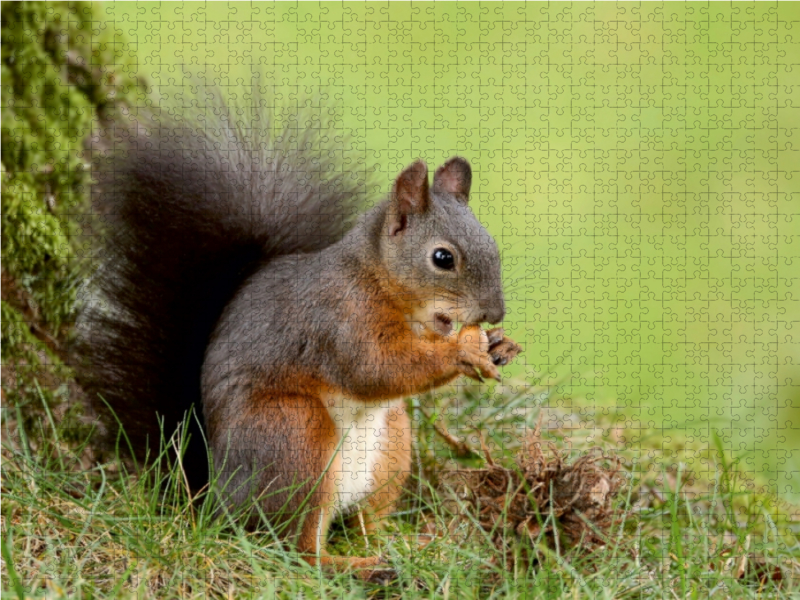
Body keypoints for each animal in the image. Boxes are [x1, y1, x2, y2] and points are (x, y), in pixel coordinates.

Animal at [75, 102, 520, 572]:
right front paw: (463, 352)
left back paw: (399, 546)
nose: (495, 312)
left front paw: (500, 345)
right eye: (442, 258)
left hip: (392, 448)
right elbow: (375, 369)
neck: (377, 279)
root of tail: (213, 495)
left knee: (363, 522)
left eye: (493, 245)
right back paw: (354, 566)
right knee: (295, 547)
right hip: (295, 435)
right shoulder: (338, 319)